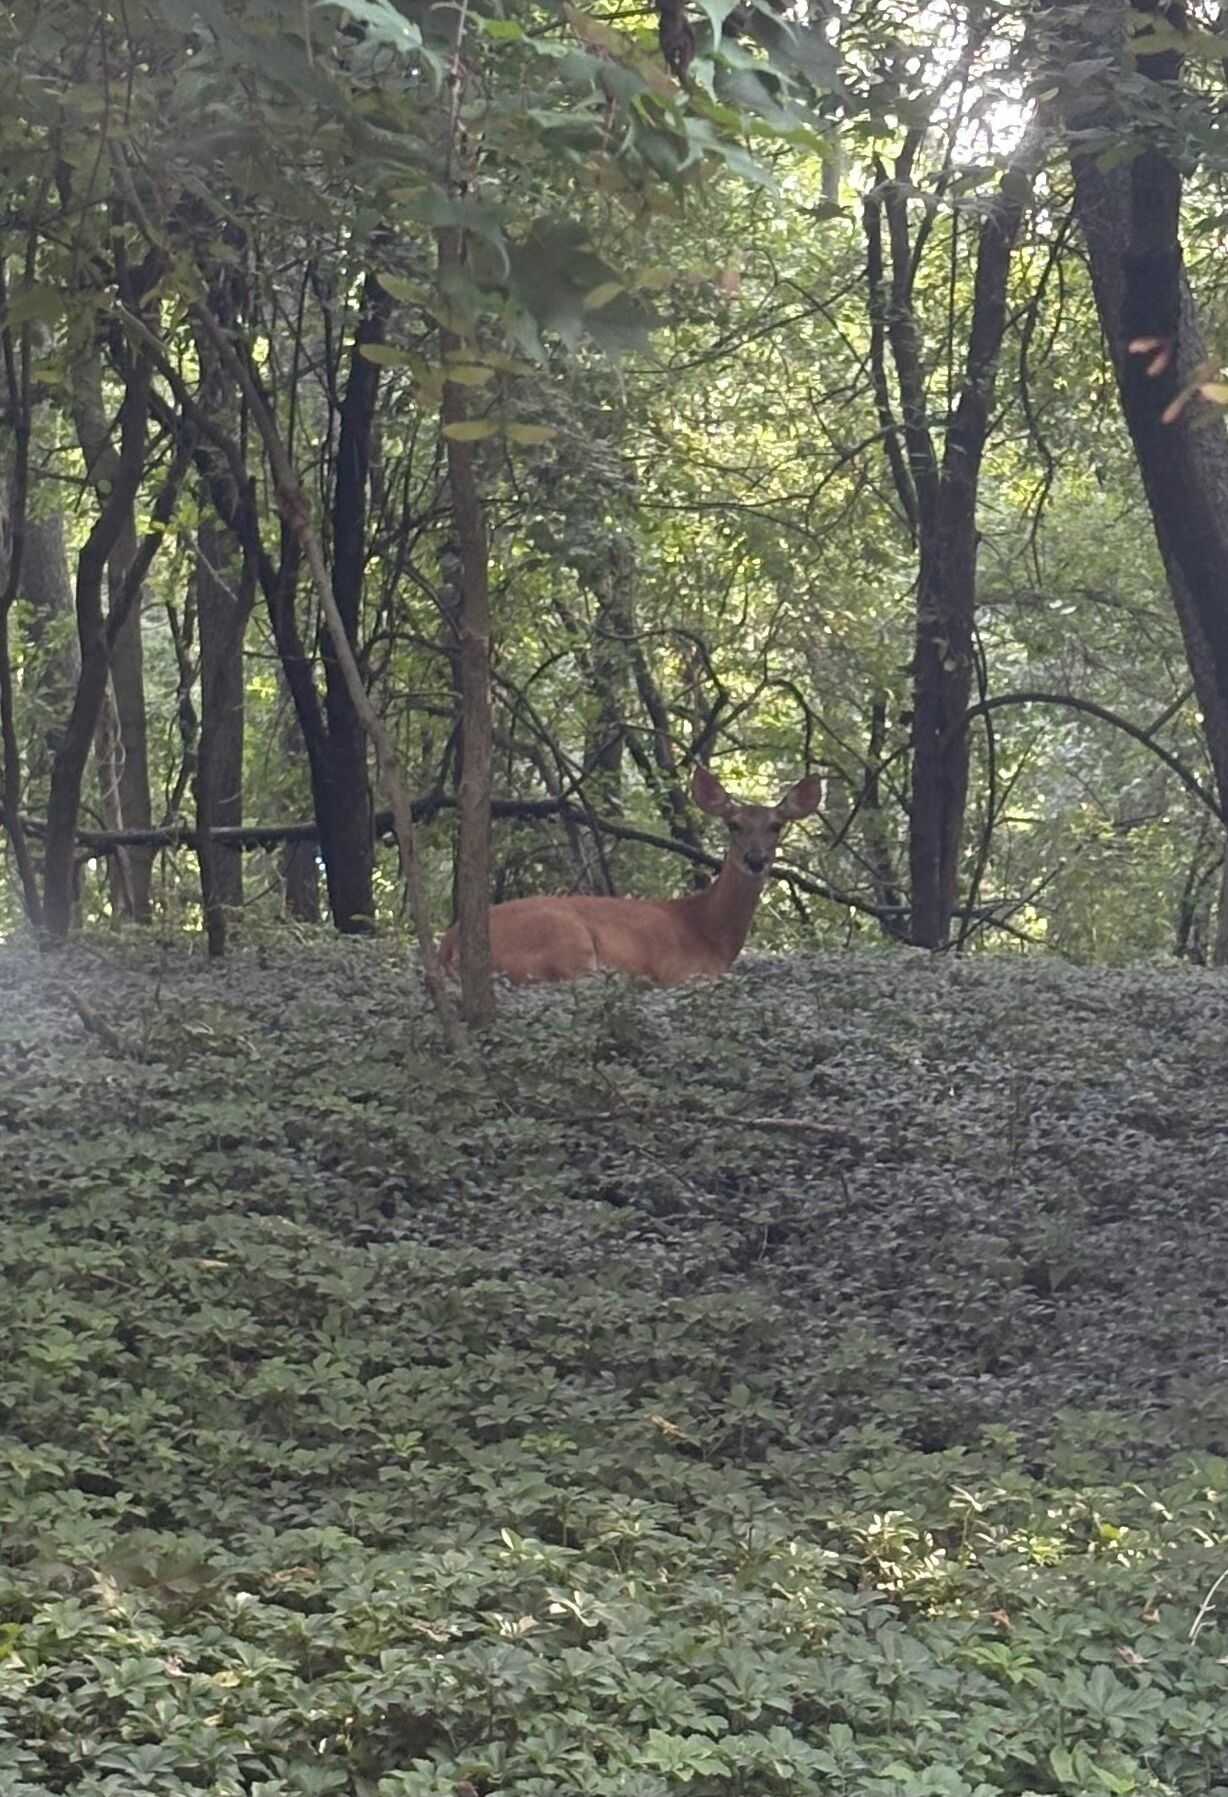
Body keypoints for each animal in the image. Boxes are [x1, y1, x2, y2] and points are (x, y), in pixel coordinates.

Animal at [438, 765, 823, 985]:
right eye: (734, 824)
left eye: (775, 826)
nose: (755, 859)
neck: (710, 932)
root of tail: (449, 941)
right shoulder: (681, 971)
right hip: (565, 941)